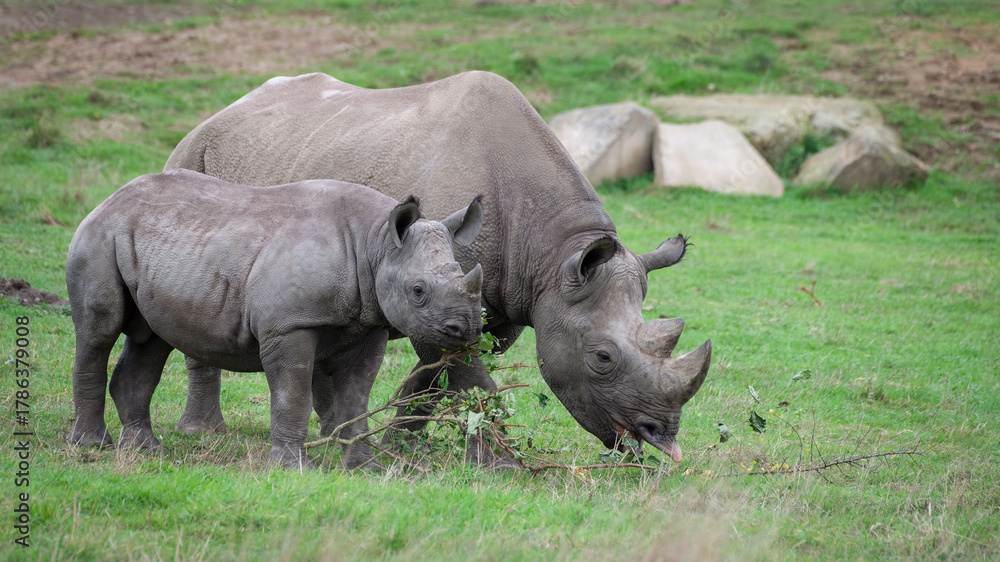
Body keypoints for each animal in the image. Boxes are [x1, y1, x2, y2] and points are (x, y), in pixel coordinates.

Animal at [66, 169, 485, 469]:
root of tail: (108, 200)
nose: (465, 329)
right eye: (418, 291)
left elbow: (356, 396)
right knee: (99, 333)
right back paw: (92, 445)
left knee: (152, 339)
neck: (376, 242)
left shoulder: (369, 322)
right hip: (98, 237)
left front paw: (366, 468)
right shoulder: (289, 324)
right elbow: (293, 391)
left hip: (155, 244)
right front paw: (294, 468)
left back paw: (147, 449)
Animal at [164, 71, 712, 464]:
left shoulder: (504, 301)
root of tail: (225, 109)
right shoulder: (439, 297)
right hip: (193, 155)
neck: (554, 255)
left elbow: (438, 377)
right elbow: (466, 375)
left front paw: (400, 442)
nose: (660, 437)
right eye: (601, 357)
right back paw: (203, 433)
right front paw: (500, 463)